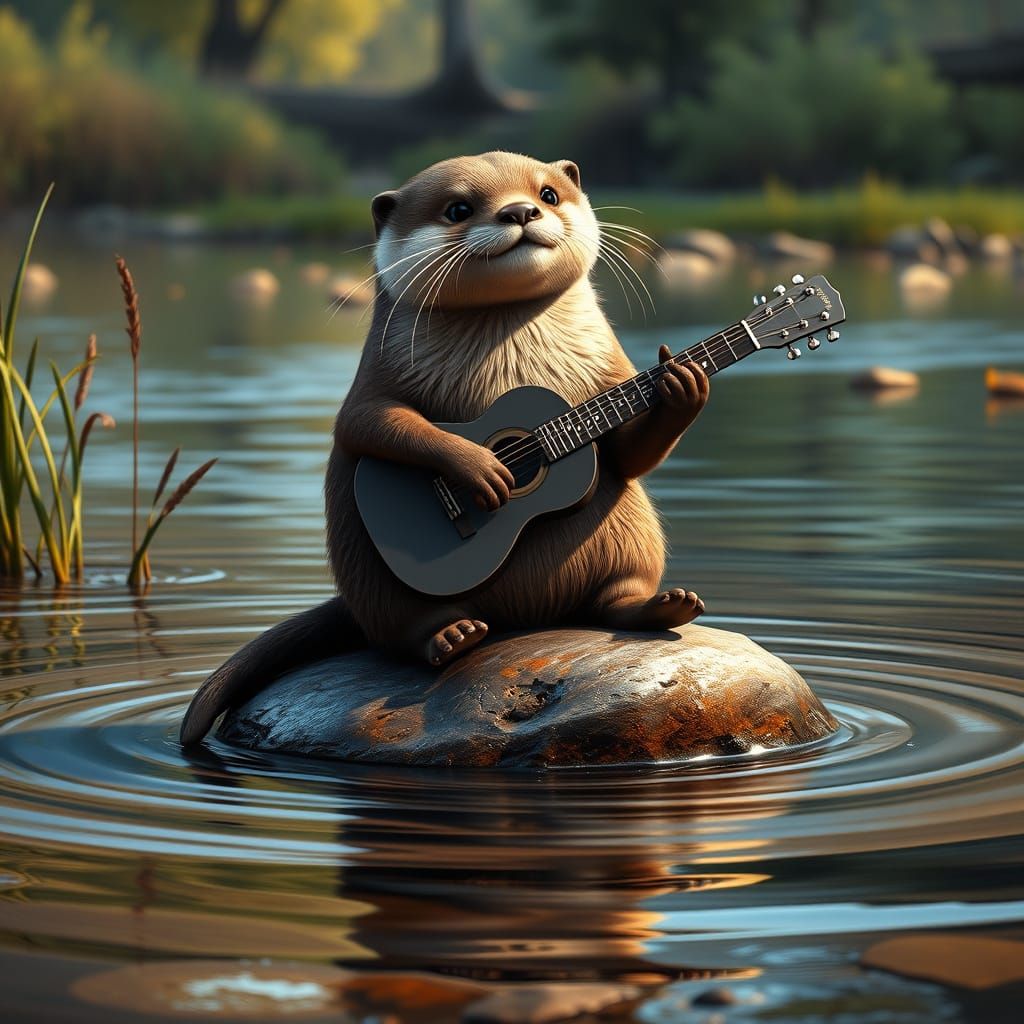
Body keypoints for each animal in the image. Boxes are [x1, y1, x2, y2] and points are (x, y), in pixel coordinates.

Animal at [180, 152, 709, 746]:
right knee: (400, 631)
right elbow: (366, 422)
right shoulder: (378, 369)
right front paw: (479, 468)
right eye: (458, 208)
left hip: (628, 536)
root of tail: (525, 614)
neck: (507, 336)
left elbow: (626, 454)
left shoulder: (611, 367)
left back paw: (660, 607)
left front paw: (683, 385)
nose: (520, 211)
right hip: (370, 570)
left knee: (612, 598)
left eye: (548, 194)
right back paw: (451, 636)